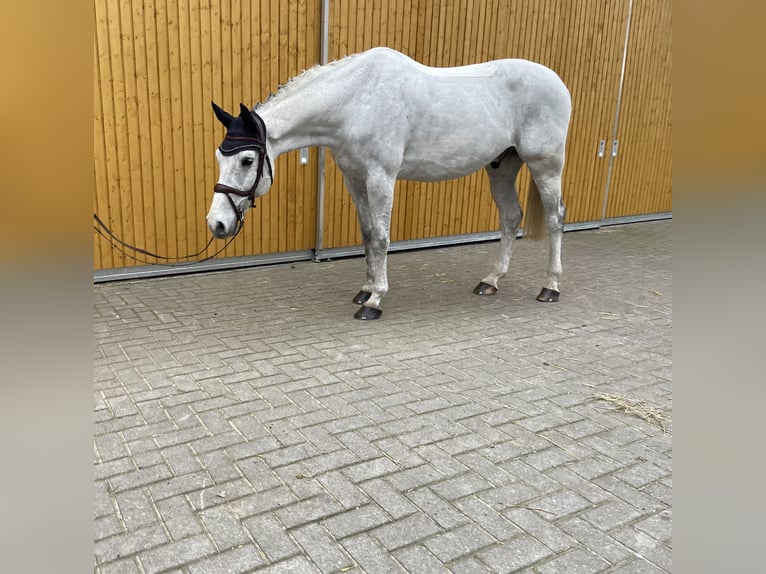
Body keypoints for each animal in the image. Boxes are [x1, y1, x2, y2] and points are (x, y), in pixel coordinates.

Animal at [206, 47, 571, 320]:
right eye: (219, 157)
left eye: (246, 160)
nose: (217, 224)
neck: (355, 100)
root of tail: (556, 81)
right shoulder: (355, 178)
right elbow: (368, 233)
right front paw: (366, 289)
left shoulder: (380, 176)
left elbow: (382, 238)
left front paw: (374, 301)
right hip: (502, 166)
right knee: (510, 218)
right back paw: (491, 281)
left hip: (546, 164)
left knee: (555, 219)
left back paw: (550, 287)